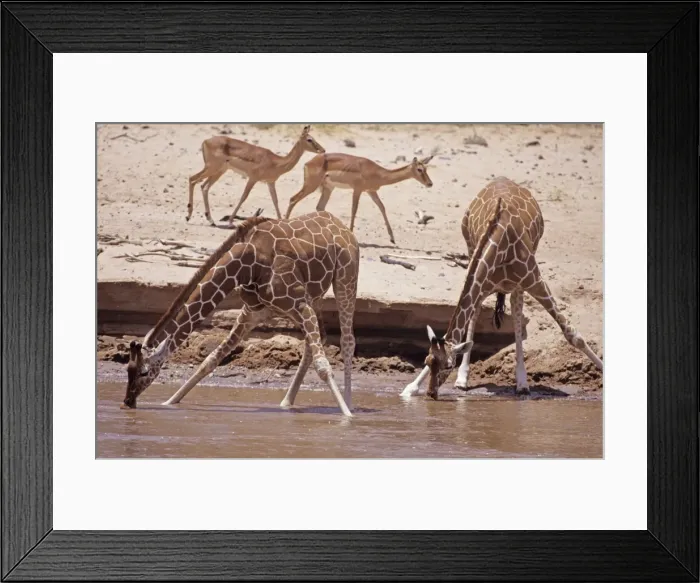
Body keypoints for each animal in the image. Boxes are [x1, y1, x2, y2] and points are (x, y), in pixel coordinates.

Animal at [122, 210, 360, 417]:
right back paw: (286, 402)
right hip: (312, 298)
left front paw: (347, 417)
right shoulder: (254, 312)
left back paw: (349, 404)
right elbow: (210, 359)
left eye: (144, 372)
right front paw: (169, 402)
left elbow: (323, 366)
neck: (249, 264)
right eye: (127, 369)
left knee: (347, 340)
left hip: (345, 278)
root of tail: (341, 225)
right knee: (318, 340)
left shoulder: (300, 303)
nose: (127, 401)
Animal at [401, 177, 602, 399]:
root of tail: (502, 179)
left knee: (516, 309)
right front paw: (411, 387)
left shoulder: (535, 280)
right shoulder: (481, 281)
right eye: (427, 361)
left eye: (448, 365)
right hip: (471, 251)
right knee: (483, 312)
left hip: (522, 276)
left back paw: (522, 383)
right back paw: (464, 379)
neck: (501, 243)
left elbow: (573, 335)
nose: (430, 393)